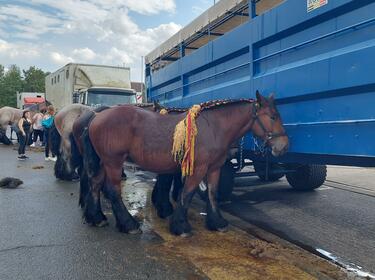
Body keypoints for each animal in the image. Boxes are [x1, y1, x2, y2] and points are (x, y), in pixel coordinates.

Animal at [81, 92, 290, 236]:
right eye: (273, 116)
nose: (284, 145)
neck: (214, 127)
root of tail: (97, 116)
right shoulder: (199, 168)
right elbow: (187, 194)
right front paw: (180, 226)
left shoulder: (214, 168)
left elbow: (212, 194)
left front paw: (217, 222)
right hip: (113, 162)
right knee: (112, 190)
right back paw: (128, 224)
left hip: (104, 162)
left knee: (95, 184)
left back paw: (96, 217)